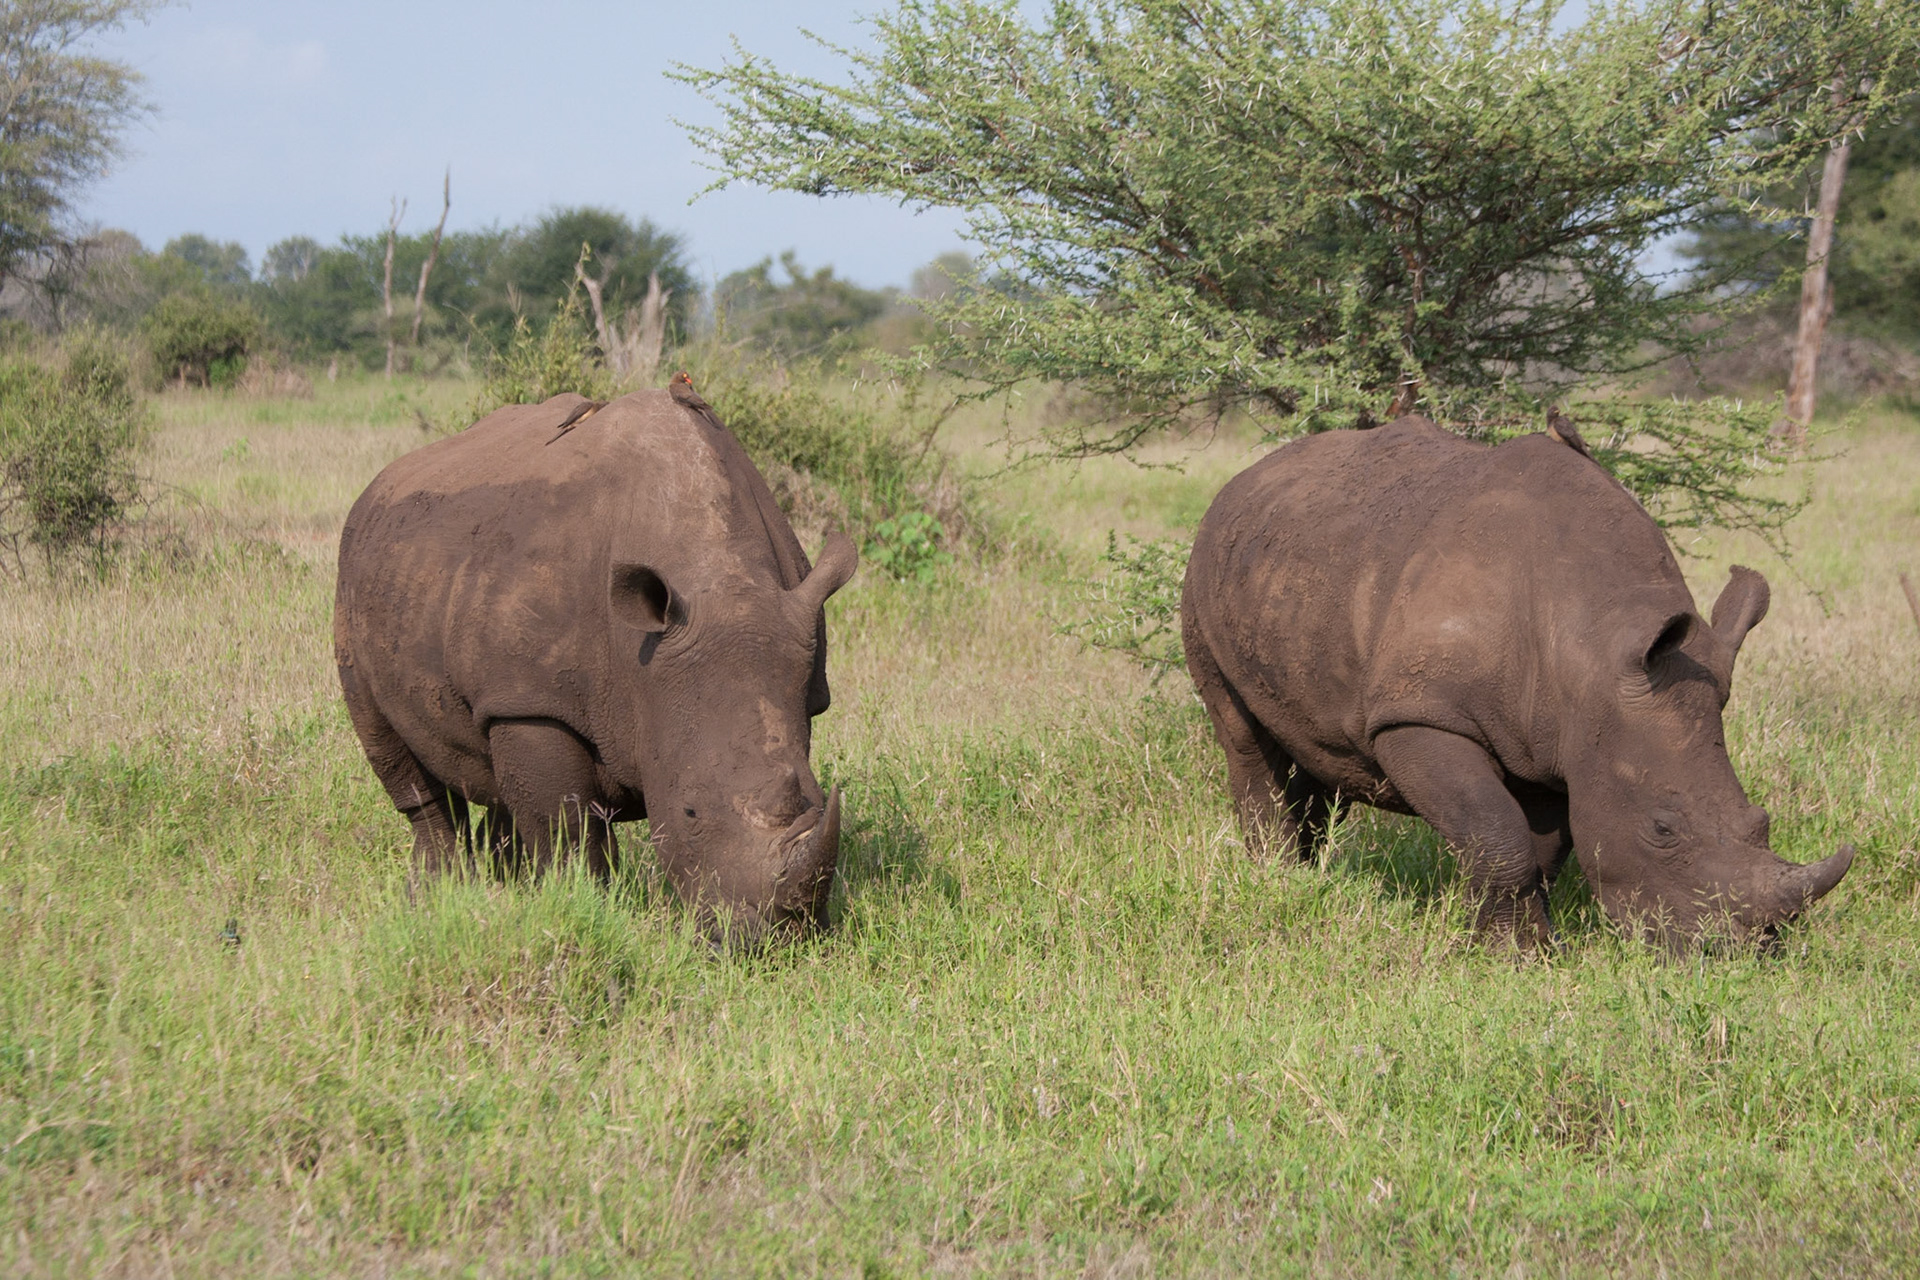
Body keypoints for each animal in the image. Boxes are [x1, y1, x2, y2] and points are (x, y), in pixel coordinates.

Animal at [334, 389, 856, 939]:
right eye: (689, 811)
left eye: (818, 799)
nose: (773, 939)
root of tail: (380, 484)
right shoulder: (533, 699)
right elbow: (563, 825)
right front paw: (582, 907)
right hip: (355, 583)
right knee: (395, 751)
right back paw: (435, 900)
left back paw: (503, 888)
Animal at [1180, 414, 1852, 948]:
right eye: (1662, 830)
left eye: (1760, 822)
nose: (1746, 950)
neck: (1589, 645)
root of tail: (1247, 476)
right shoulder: (1420, 714)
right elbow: (1499, 836)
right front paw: (1512, 954)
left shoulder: (1560, 737)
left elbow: (1538, 847)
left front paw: (1528, 946)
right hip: (1202, 568)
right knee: (1243, 738)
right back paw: (1277, 876)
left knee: (1316, 746)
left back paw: (1311, 865)